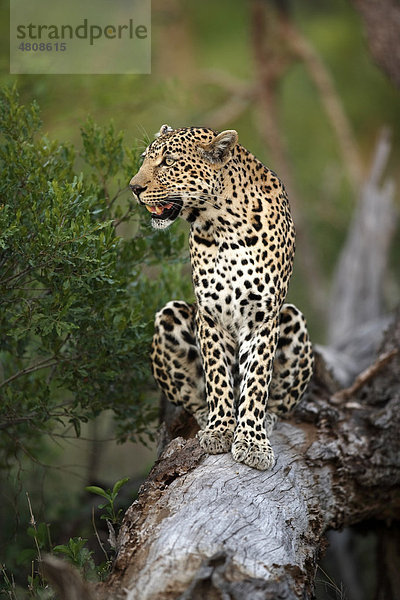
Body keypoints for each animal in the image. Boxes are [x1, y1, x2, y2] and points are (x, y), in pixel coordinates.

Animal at [130, 123, 314, 468]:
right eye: (145, 159)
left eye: (168, 162)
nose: (133, 187)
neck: (223, 224)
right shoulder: (210, 315)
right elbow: (217, 376)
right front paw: (219, 430)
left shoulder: (262, 317)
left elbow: (256, 381)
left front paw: (253, 441)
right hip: (170, 315)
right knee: (194, 400)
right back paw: (207, 420)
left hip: (293, 319)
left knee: (278, 405)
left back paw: (266, 420)